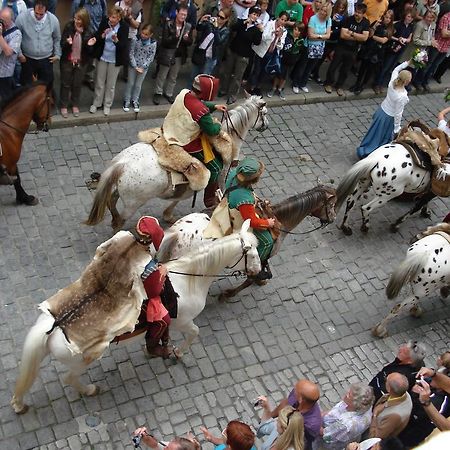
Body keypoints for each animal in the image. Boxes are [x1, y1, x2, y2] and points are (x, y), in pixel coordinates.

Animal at [11, 221, 260, 414]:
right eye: (252, 254)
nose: (259, 273)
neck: (190, 278)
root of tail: (54, 324)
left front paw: (160, 349)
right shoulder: (183, 322)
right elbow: (194, 334)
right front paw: (176, 353)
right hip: (81, 362)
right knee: (70, 379)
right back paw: (90, 390)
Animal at [84, 95, 268, 229]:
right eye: (264, 113)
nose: (265, 126)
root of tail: (120, 164)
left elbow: (178, 198)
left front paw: (168, 215)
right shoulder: (220, 174)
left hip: (121, 191)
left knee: (111, 201)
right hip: (133, 203)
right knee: (121, 219)